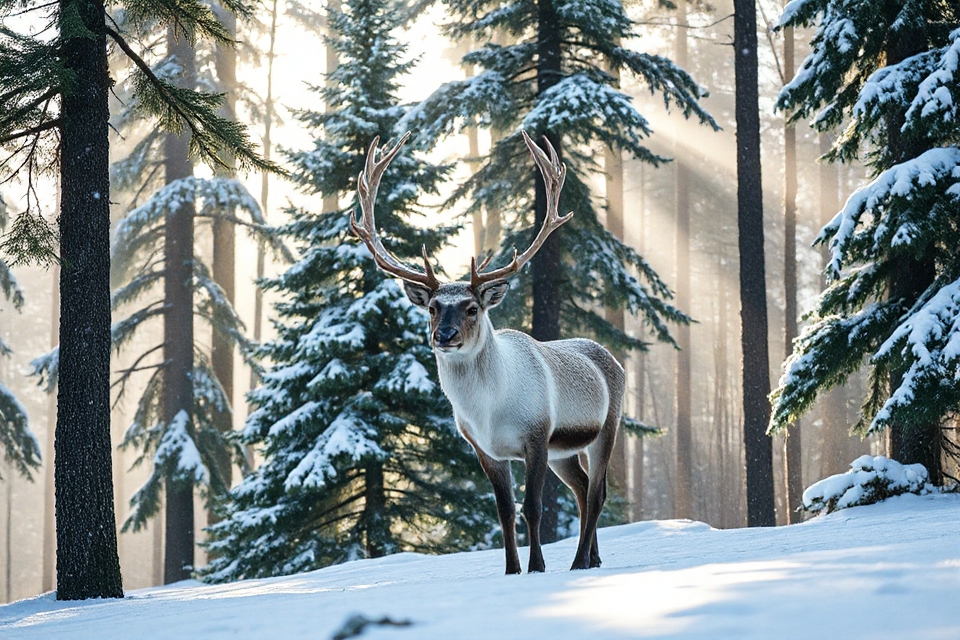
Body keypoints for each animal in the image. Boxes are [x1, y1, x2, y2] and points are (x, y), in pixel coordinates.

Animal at [350, 130, 624, 574]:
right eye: (432, 307)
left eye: (472, 307)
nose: (443, 336)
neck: (489, 410)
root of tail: (613, 359)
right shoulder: (484, 448)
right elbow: (504, 511)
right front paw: (512, 569)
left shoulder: (536, 436)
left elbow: (532, 508)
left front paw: (536, 567)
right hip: (565, 451)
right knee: (583, 489)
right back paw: (593, 558)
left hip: (606, 428)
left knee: (597, 492)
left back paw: (580, 560)